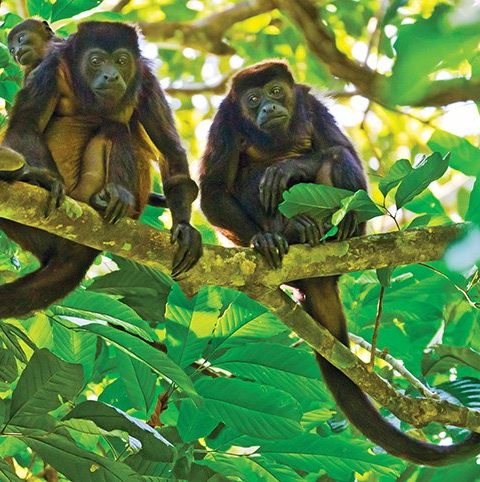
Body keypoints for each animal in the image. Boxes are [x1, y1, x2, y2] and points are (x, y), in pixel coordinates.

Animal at [199, 61, 480, 465]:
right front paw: (262, 238)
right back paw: (289, 231)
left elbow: (342, 150)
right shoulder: (224, 122)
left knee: (336, 159)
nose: (268, 107)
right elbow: (213, 191)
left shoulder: (312, 104)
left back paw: (337, 228)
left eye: (276, 91)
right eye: (252, 100)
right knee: (255, 180)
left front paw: (293, 165)